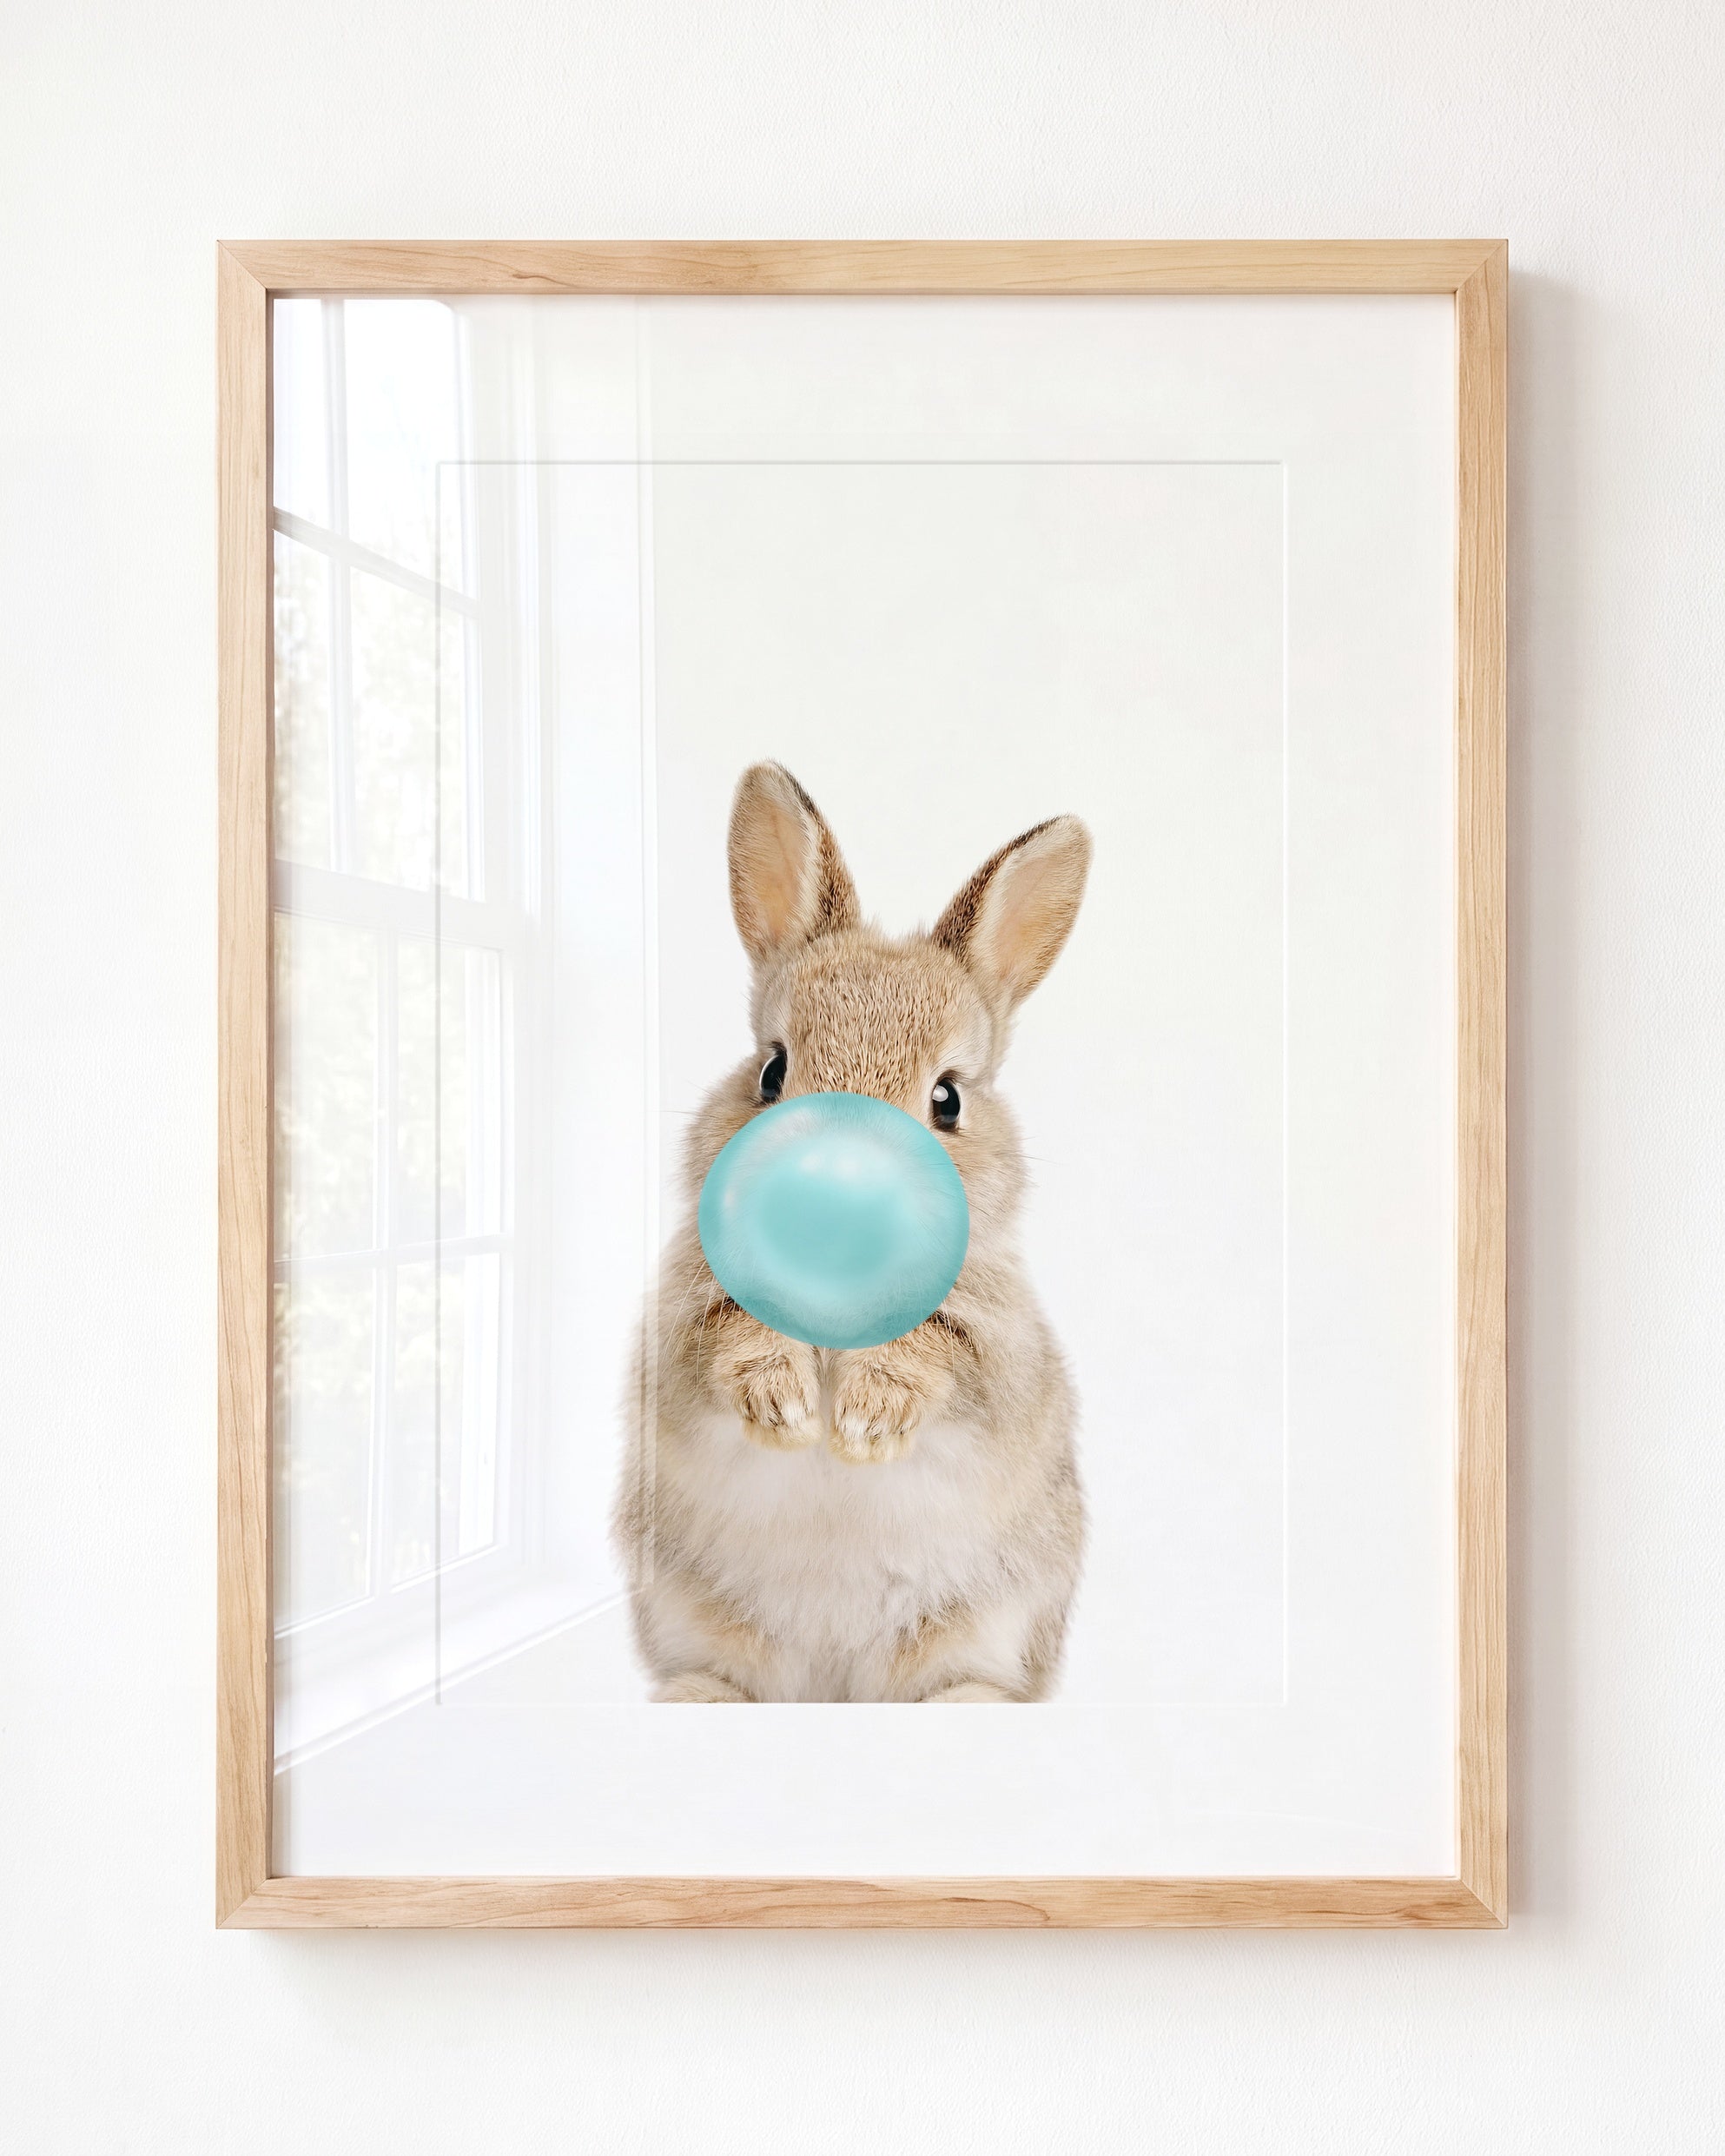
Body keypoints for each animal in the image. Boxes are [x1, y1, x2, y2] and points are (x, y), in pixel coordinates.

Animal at [614, 761, 1090, 1702]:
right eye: (771, 1071)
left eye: (947, 1099)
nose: (834, 1187)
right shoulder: (679, 1332)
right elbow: (729, 1337)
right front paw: (787, 1408)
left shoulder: (1000, 1355)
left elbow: (939, 1350)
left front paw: (864, 1424)